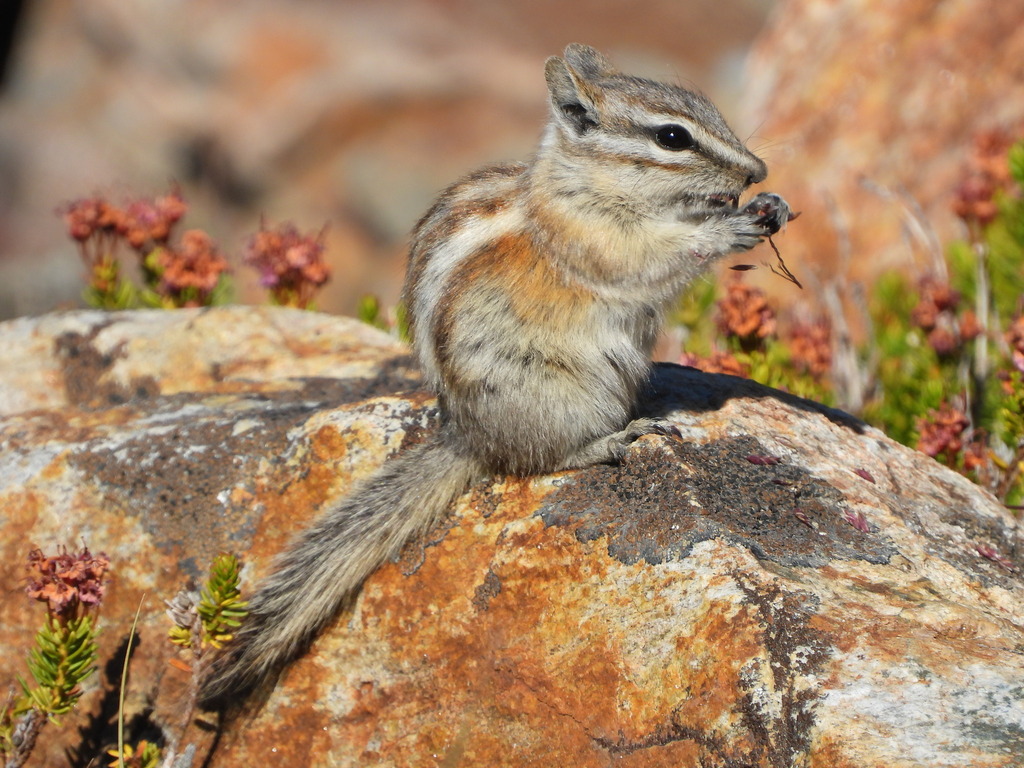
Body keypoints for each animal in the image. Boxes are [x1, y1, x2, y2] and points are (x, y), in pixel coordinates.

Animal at [200, 43, 791, 707]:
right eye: (672, 137)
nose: (758, 172)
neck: (579, 183)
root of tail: (469, 437)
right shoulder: (597, 241)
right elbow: (653, 257)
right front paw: (726, 228)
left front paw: (771, 207)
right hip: (568, 396)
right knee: (538, 459)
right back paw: (616, 439)